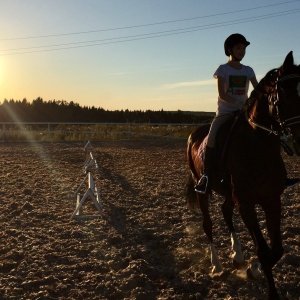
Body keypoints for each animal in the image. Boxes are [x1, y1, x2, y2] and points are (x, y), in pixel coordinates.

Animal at [186, 50, 298, 298]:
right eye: (286, 93)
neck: (257, 147)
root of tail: (194, 134)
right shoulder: (246, 203)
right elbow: (264, 250)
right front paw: (266, 285)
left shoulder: (271, 200)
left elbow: (276, 249)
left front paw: (252, 269)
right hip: (201, 188)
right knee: (207, 223)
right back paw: (216, 265)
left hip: (229, 193)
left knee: (225, 211)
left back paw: (237, 255)